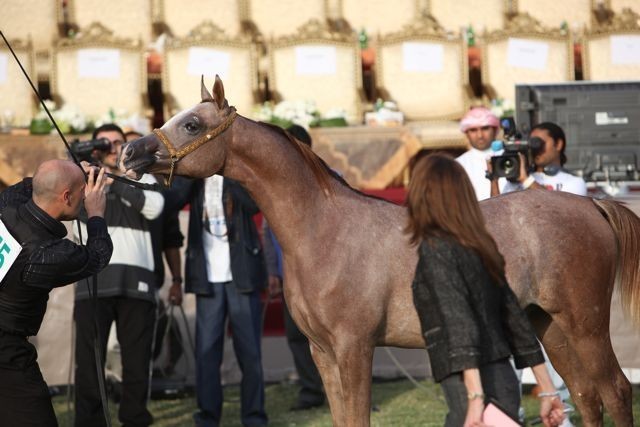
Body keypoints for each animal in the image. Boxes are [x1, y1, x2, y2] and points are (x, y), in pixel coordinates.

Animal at [120, 76, 639, 426]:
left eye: (191, 124)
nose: (130, 154)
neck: (324, 229)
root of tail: (591, 203)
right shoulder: (323, 353)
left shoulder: (355, 347)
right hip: (548, 324)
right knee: (586, 396)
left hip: (586, 324)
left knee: (614, 390)